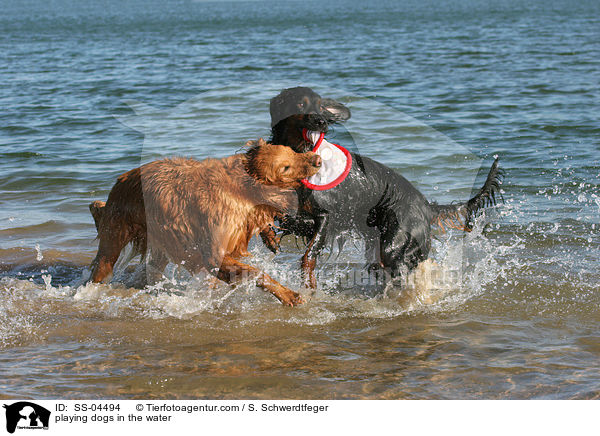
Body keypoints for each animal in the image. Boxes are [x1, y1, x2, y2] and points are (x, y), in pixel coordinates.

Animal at [88, 140, 322, 306]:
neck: (241, 190)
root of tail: (119, 181)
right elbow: (257, 273)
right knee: (101, 266)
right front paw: (289, 295)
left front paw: (270, 235)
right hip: (113, 240)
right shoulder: (213, 254)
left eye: (291, 151)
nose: (318, 159)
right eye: (285, 167)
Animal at [268, 86, 502, 288]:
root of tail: (427, 206)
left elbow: (310, 253)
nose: (322, 121)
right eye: (300, 103)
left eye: (320, 106)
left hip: (395, 242)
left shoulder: (327, 216)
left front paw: (308, 282)